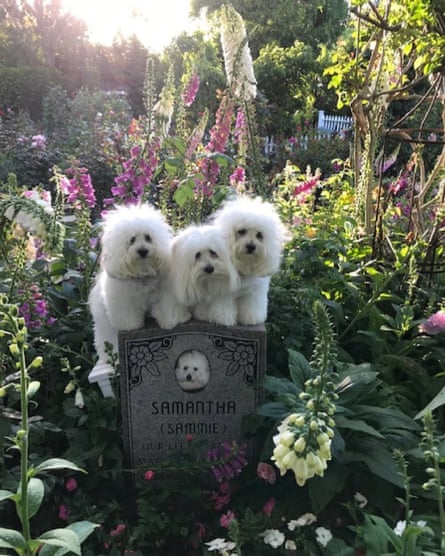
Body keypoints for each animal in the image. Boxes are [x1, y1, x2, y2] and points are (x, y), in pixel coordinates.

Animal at [88, 202, 172, 372]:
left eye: (148, 237)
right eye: (132, 240)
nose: (142, 250)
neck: (142, 274)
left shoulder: (162, 295)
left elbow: (164, 308)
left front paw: (168, 321)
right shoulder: (123, 304)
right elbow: (127, 318)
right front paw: (131, 326)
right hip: (105, 327)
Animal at [212, 195, 288, 326]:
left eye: (259, 235)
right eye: (242, 231)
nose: (251, 246)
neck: (244, 264)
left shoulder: (254, 292)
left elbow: (251, 307)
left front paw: (252, 318)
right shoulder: (223, 291)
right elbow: (223, 306)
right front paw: (224, 319)